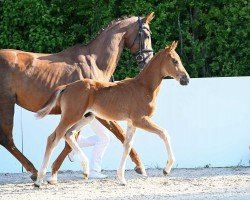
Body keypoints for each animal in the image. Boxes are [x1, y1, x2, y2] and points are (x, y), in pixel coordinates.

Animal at [34, 41, 188, 187]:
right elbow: (164, 133)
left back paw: (85, 170)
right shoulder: (140, 120)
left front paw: (121, 178)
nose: (186, 79)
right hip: (71, 116)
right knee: (53, 138)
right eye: (175, 61)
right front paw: (166, 169)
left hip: (86, 117)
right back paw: (39, 180)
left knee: (69, 135)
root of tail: (67, 87)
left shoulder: (132, 123)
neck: (144, 87)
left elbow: (127, 145)